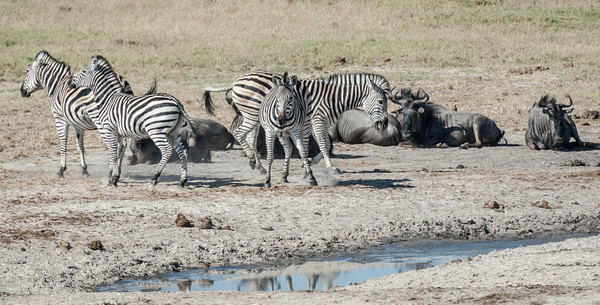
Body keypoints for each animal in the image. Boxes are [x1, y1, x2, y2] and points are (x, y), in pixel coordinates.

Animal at [20, 50, 155, 178]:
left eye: (27, 71)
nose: (21, 91)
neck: (57, 85)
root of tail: (121, 84)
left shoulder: (60, 118)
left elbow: (63, 142)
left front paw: (61, 170)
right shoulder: (78, 124)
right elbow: (80, 146)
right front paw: (84, 169)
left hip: (101, 121)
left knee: (116, 144)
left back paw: (111, 171)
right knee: (122, 144)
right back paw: (118, 169)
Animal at [69, 55, 198, 186]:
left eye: (83, 71)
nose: (69, 83)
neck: (107, 99)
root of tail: (176, 102)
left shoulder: (109, 130)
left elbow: (113, 152)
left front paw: (113, 178)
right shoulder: (119, 133)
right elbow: (117, 152)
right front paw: (114, 177)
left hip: (156, 131)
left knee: (167, 150)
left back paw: (155, 177)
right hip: (173, 132)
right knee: (183, 152)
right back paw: (182, 180)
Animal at [203, 70, 390, 172]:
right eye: (381, 101)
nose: (386, 124)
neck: (331, 97)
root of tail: (236, 82)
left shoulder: (314, 122)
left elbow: (323, 144)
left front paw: (310, 162)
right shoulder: (317, 120)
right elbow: (324, 143)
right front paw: (330, 166)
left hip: (253, 116)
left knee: (249, 137)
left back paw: (258, 165)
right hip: (252, 114)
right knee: (239, 133)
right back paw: (252, 159)